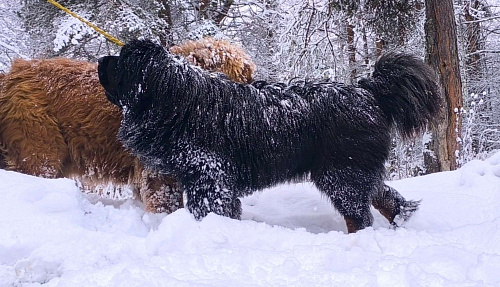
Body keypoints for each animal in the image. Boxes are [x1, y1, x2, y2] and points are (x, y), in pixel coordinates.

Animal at [98, 40, 442, 234]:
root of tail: (368, 91)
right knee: (385, 197)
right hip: (355, 170)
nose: (101, 60)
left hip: (341, 174)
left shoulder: (209, 177)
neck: (174, 99)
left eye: (121, 61)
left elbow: (209, 209)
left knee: (359, 215)